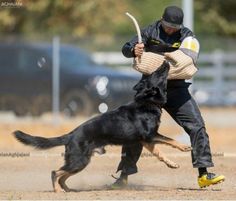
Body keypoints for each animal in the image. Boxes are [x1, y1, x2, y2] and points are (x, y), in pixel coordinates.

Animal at [13, 61, 192, 193]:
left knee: (63, 175)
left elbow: (160, 153)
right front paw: (185, 147)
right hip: (79, 160)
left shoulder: (146, 141)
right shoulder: (150, 136)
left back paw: (68, 189)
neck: (147, 101)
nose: (165, 61)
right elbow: (170, 140)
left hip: (80, 162)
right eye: (157, 74)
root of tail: (70, 134)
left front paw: (171, 164)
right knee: (55, 173)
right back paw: (57, 191)